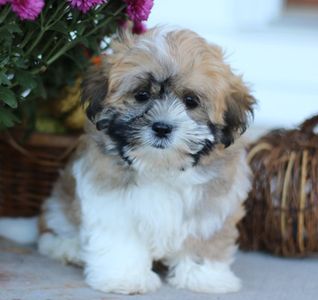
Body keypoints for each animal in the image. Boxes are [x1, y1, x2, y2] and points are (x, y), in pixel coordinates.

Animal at [37, 27, 256, 294]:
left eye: (191, 101)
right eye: (141, 95)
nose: (162, 128)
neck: (160, 165)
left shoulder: (211, 203)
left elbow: (203, 237)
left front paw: (204, 277)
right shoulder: (112, 202)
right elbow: (121, 239)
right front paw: (125, 278)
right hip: (59, 207)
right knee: (52, 233)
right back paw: (70, 249)